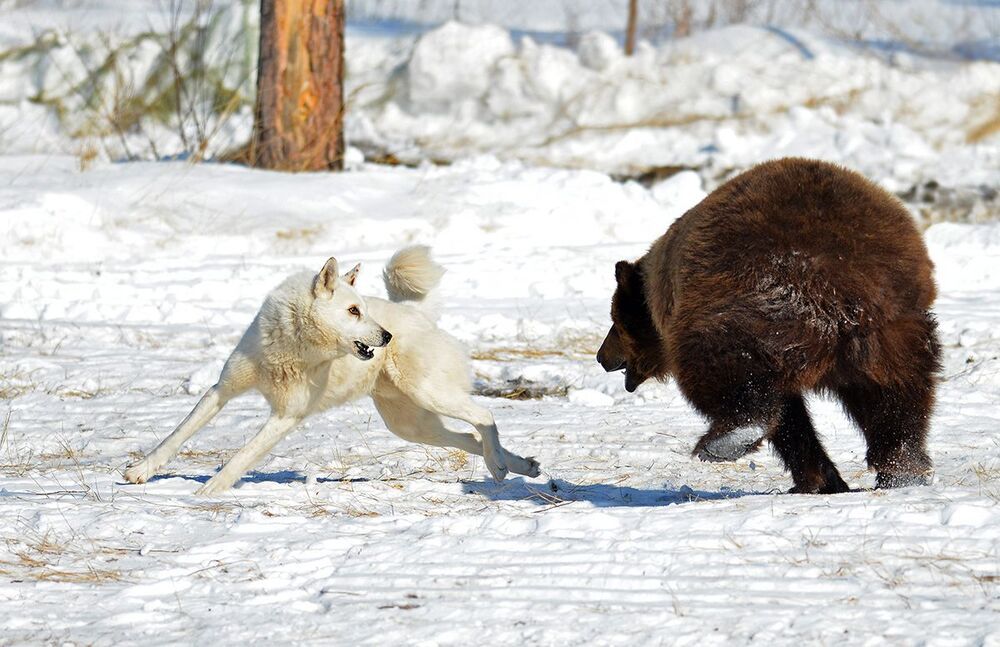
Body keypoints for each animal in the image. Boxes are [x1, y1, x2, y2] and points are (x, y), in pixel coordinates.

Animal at [597, 158, 940, 494]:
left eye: (615, 322)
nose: (602, 356)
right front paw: (822, 480)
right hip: (892, 331)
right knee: (897, 395)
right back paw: (902, 469)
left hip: (758, 303)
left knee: (725, 368)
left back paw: (728, 438)